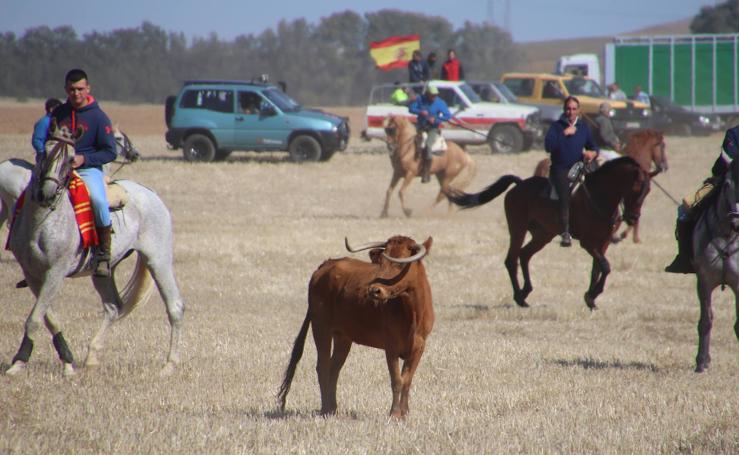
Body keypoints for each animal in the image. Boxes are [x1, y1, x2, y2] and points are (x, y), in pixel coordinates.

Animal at [4, 123, 184, 376]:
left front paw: (22, 361)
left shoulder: (56, 272)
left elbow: (36, 318)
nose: (46, 192)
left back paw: (169, 365)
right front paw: (64, 360)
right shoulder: (32, 274)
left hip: (158, 260)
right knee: (113, 307)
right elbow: (47, 317)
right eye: (44, 153)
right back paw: (92, 356)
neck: (41, 221)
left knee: (174, 306)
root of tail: (150, 193)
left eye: (71, 159)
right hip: (104, 272)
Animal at [280, 237, 436, 418]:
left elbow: (407, 379)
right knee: (323, 366)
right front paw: (394, 414)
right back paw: (325, 409)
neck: (412, 313)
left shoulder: (419, 347)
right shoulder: (391, 347)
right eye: (381, 262)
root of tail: (326, 265)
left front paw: (404, 413)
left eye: (401, 264)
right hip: (320, 327)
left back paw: (333, 408)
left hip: (342, 337)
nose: (375, 290)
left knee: (334, 369)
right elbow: (397, 380)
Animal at [448, 157, 652, 310]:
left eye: (648, 191)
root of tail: (519, 185)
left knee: (524, 255)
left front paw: (591, 298)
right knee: (512, 259)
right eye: (635, 188)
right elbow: (606, 266)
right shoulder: (588, 243)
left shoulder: (604, 242)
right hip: (518, 229)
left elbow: (598, 269)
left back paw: (525, 293)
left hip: (543, 235)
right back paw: (519, 297)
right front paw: (592, 295)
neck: (598, 197)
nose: (633, 217)